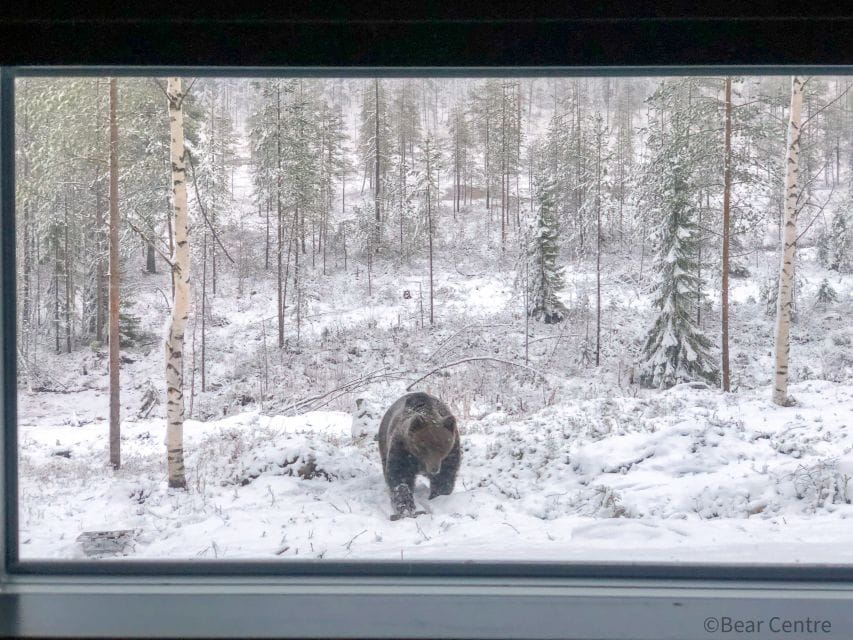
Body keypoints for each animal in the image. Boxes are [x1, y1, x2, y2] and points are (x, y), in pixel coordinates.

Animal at [377, 392, 461, 520]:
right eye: (424, 446)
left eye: (443, 446)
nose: (434, 469)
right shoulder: (403, 449)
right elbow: (400, 476)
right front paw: (405, 507)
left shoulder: (451, 453)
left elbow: (445, 476)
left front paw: (438, 496)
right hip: (384, 438)